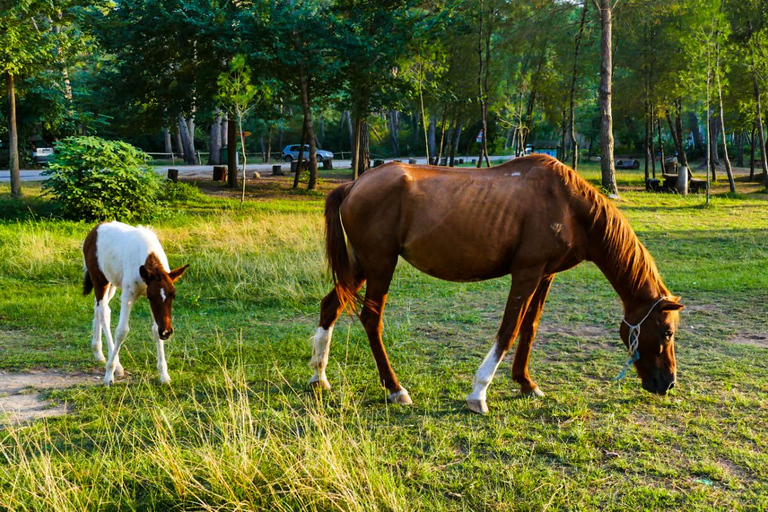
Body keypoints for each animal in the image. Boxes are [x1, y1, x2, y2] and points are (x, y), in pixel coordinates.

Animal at [83, 220, 189, 384]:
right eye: (151, 297)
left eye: (173, 296)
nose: (166, 332)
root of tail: (95, 229)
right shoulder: (129, 294)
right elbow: (122, 330)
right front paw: (109, 375)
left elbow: (155, 329)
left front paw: (164, 374)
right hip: (100, 281)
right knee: (104, 313)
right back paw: (116, 365)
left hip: (111, 284)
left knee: (99, 308)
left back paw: (98, 352)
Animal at [312, 154, 684, 414]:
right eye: (667, 332)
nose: (668, 383)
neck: (570, 207)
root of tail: (354, 185)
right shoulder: (526, 273)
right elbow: (509, 329)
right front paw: (479, 393)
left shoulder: (545, 275)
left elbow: (530, 328)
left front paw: (526, 383)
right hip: (380, 266)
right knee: (371, 319)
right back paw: (394, 388)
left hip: (361, 266)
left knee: (330, 306)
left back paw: (319, 376)